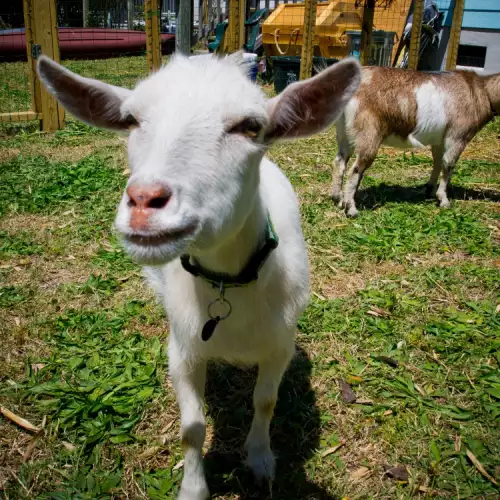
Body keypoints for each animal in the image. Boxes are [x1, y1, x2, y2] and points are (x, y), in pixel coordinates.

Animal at [38, 52, 360, 498]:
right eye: (131, 119)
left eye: (250, 126)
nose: (144, 200)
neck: (228, 284)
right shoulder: (182, 348)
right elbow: (191, 427)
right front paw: (193, 486)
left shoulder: (280, 345)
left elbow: (265, 402)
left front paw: (260, 460)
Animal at [332, 66, 500, 215]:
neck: (481, 92)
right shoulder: (457, 136)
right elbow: (448, 164)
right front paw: (444, 200)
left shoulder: (439, 140)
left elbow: (438, 162)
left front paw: (430, 190)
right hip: (368, 132)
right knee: (356, 169)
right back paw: (351, 208)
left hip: (344, 131)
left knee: (340, 161)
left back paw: (337, 198)